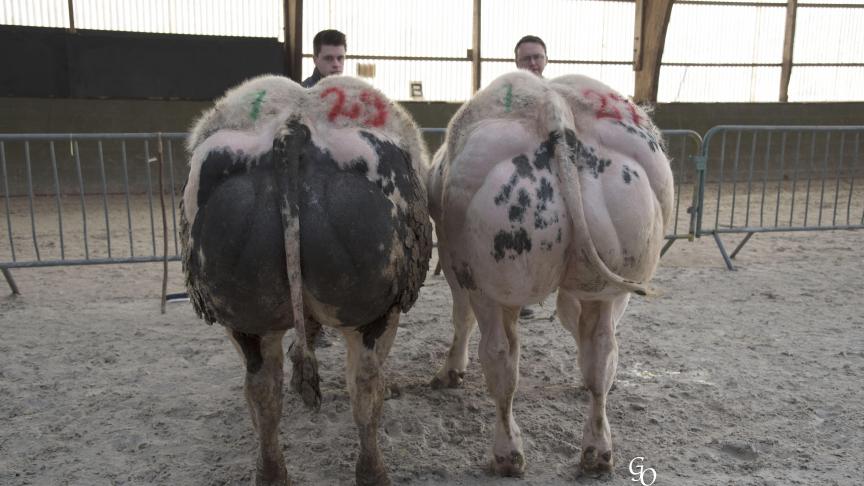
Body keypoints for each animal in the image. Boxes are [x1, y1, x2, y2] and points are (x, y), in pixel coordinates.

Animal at [428, 71, 672, 474]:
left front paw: (451, 371)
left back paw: (507, 454)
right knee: (602, 350)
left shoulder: (451, 261)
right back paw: (597, 449)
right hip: (613, 278)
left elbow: (461, 318)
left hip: (485, 281)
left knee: (499, 356)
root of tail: (554, 110)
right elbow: (574, 321)